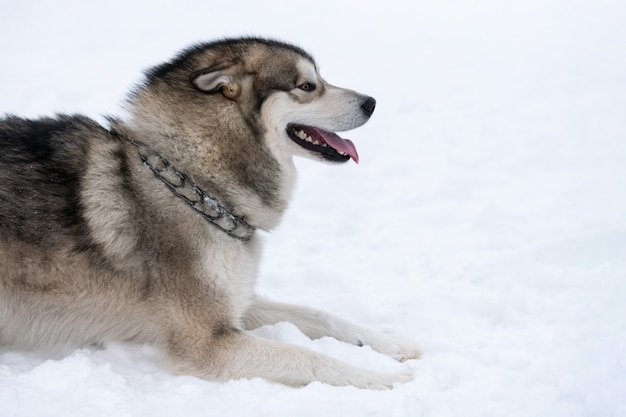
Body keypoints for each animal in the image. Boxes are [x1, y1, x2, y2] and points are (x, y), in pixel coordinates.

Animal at [1, 37, 420, 388]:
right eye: (306, 86)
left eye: (319, 80)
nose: (371, 102)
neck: (194, 183)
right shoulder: (208, 342)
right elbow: (308, 357)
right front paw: (384, 380)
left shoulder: (235, 300)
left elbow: (321, 315)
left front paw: (391, 344)